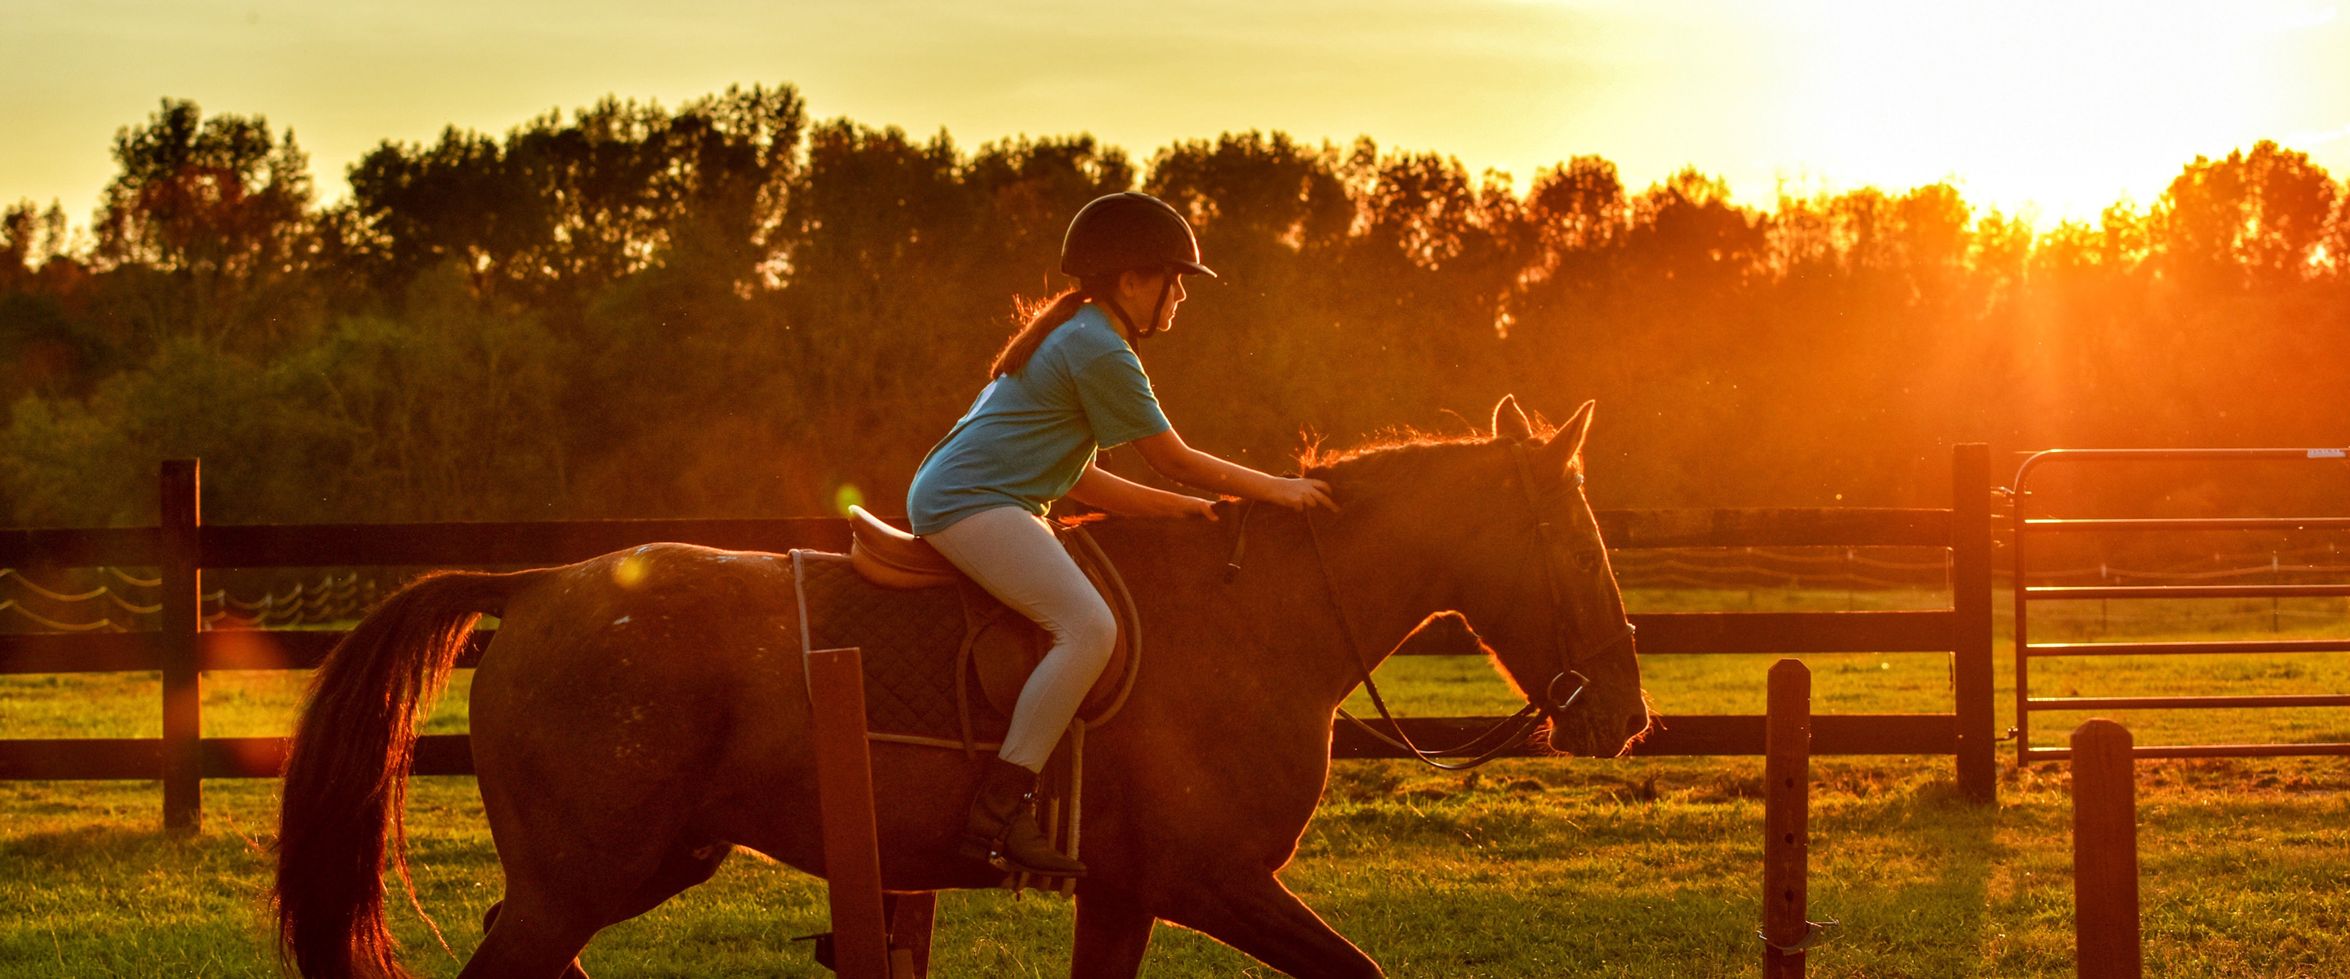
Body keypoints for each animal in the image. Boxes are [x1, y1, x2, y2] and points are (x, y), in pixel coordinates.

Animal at [274, 396, 1654, 976]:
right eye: (1577, 543)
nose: (1627, 717)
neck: (1261, 619)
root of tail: (540, 582)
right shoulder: (1211, 878)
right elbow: (1354, 970)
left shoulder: (1129, 891)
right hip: (586, 875)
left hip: (619, 871)